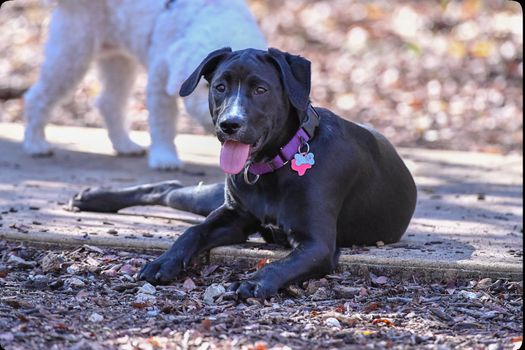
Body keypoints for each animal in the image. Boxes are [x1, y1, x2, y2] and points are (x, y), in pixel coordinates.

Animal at [23, 0, 266, 170]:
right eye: (217, 87)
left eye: (258, 91)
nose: (229, 124)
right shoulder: (160, 79)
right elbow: (162, 122)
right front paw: (164, 158)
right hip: (73, 49)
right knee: (39, 95)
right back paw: (35, 143)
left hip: (118, 59)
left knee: (110, 102)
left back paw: (125, 145)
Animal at [71, 46, 416, 298]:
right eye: (220, 87)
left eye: (261, 89)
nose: (229, 125)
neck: (274, 166)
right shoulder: (233, 215)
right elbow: (192, 231)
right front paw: (163, 261)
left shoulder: (317, 244)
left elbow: (281, 264)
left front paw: (254, 282)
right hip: (209, 198)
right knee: (165, 188)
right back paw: (93, 197)